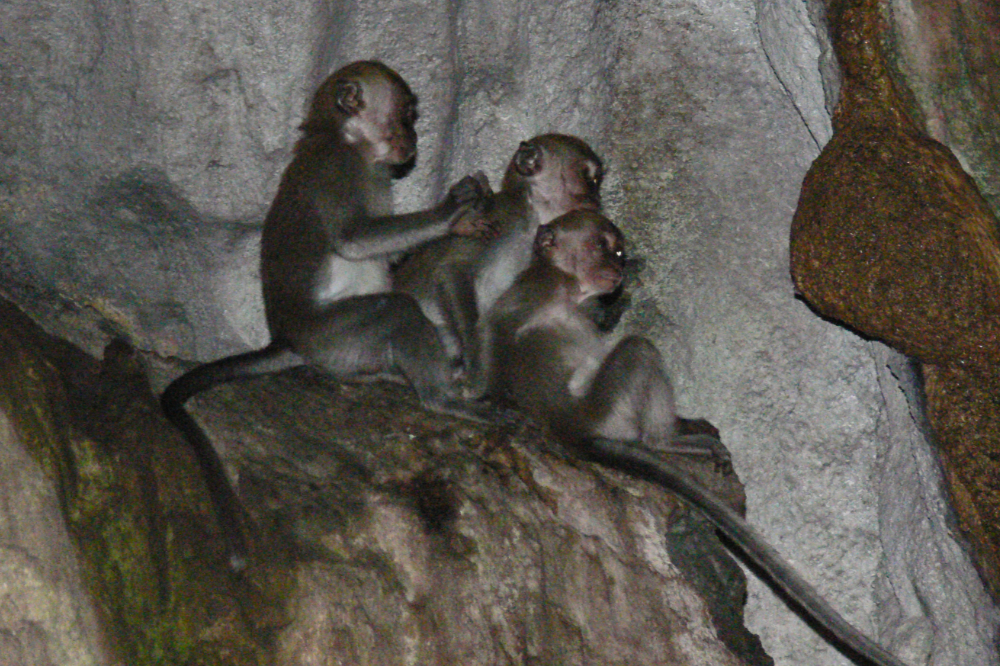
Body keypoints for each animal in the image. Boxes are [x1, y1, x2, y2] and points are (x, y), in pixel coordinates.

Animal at [161, 60, 494, 570]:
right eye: (405, 114)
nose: (413, 138)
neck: (345, 140)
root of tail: (287, 338)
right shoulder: (338, 170)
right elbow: (355, 238)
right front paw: (453, 211)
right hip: (332, 333)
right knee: (397, 309)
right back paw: (441, 398)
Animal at [392, 134, 603, 379]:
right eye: (589, 179)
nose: (597, 199)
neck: (534, 218)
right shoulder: (498, 215)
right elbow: (453, 269)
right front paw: (473, 348)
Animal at [471, 210, 911, 666]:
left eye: (618, 251)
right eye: (600, 247)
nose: (617, 268)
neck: (562, 280)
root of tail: (574, 430)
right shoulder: (551, 299)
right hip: (612, 409)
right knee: (639, 350)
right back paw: (666, 441)